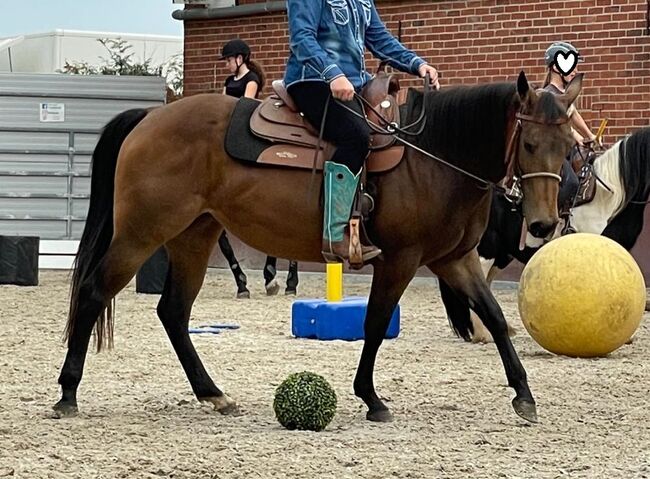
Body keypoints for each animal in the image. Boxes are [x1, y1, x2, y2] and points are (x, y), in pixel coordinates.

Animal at [53, 71, 576, 424]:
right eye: (529, 143)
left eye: (568, 145)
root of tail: (151, 117)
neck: (433, 157)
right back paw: (67, 394)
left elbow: (495, 317)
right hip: (142, 233)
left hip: (194, 236)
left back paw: (213, 393)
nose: (544, 223)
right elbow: (375, 322)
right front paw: (371, 397)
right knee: (95, 292)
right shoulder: (402, 259)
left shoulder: (453, 259)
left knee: (174, 312)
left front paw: (524, 395)